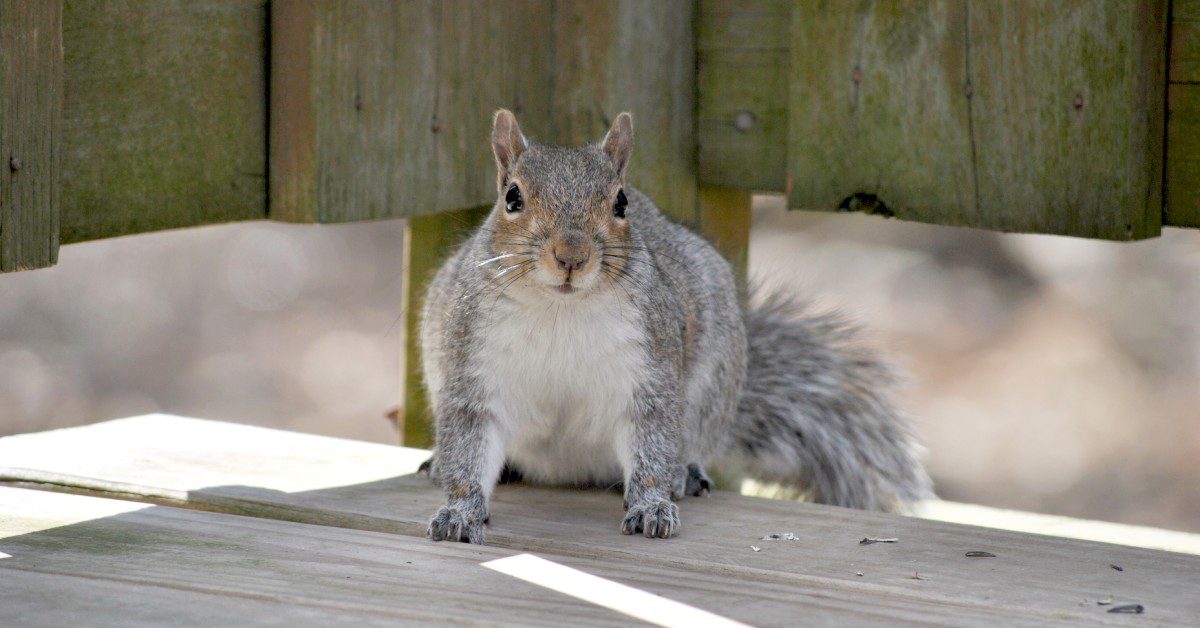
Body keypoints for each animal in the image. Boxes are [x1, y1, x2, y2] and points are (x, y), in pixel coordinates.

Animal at [420, 110, 931, 544]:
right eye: (512, 198)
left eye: (621, 202)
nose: (571, 256)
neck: (559, 310)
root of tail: (568, 471)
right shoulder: (472, 367)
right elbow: (468, 442)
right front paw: (460, 511)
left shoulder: (651, 369)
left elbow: (651, 443)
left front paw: (651, 505)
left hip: (710, 387)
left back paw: (682, 474)